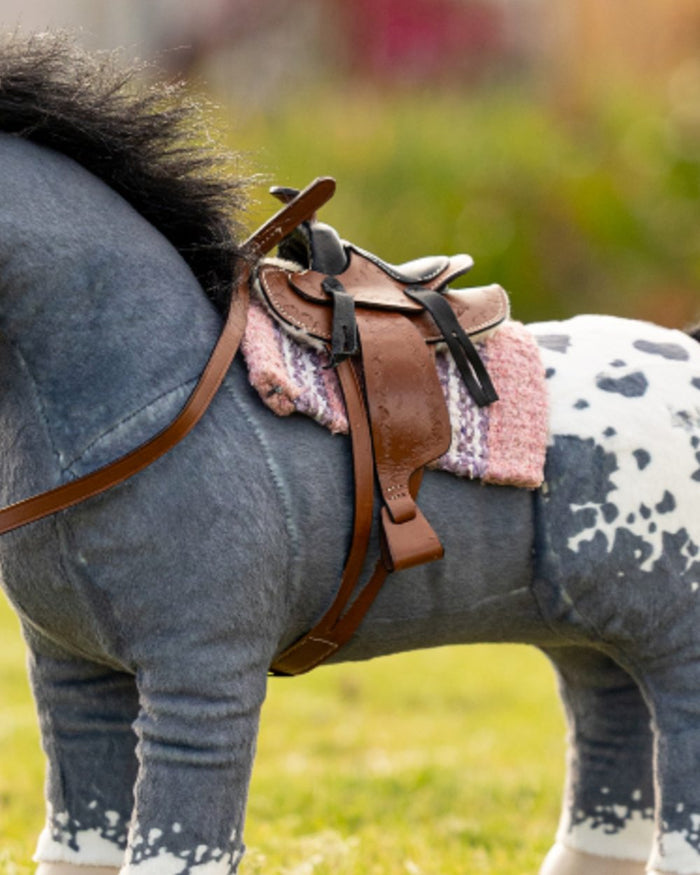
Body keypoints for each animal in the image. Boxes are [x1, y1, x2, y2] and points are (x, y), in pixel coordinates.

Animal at [0, 33, 698, 875]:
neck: (149, 398)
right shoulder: (71, 678)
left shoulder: (202, 678)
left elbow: (175, 842)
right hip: (589, 635)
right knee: (611, 741)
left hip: (677, 645)